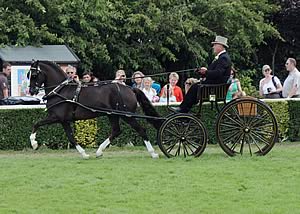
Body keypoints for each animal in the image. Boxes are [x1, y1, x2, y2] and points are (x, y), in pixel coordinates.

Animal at [28, 60, 163, 159]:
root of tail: (130, 89)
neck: (61, 90)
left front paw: (34, 143)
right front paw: (84, 153)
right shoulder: (63, 120)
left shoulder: (57, 117)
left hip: (126, 115)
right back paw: (99, 151)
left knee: (141, 130)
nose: (31, 91)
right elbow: (71, 137)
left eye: (34, 75)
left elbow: (37, 123)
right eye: (29, 74)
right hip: (112, 115)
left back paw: (153, 153)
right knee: (116, 131)